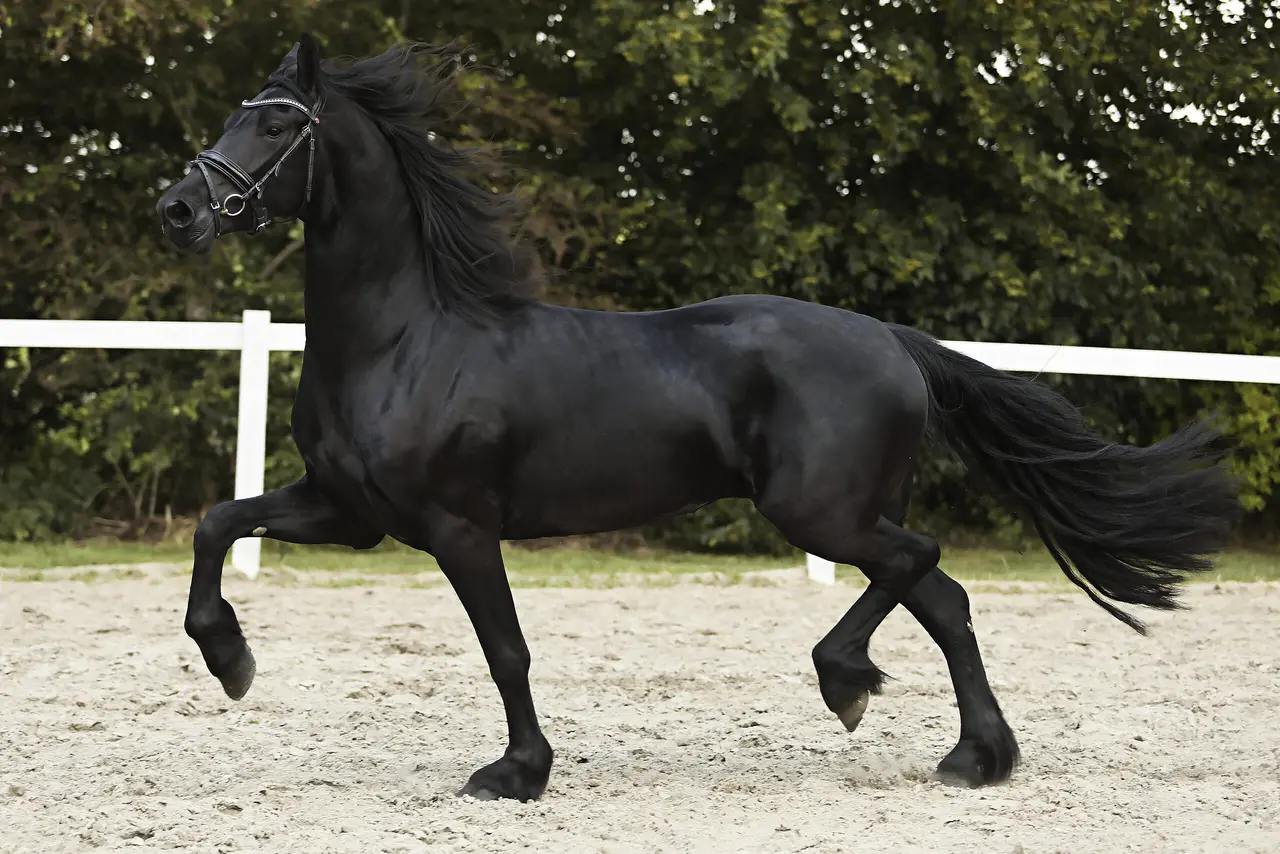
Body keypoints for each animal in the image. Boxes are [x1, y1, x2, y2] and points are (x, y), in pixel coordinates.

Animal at [156, 34, 1240, 801]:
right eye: (233, 115)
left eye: (276, 127)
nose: (178, 210)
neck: (405, 339)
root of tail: (894, 340)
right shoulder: (349, 512)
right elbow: (218, 523)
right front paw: (232, 660)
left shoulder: (457, 527)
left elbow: (506, 648)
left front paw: (516, 773)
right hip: (848, 512)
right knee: (942, 595)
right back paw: (973, 754)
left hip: (821, 512)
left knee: (920, 565)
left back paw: (849, 683)